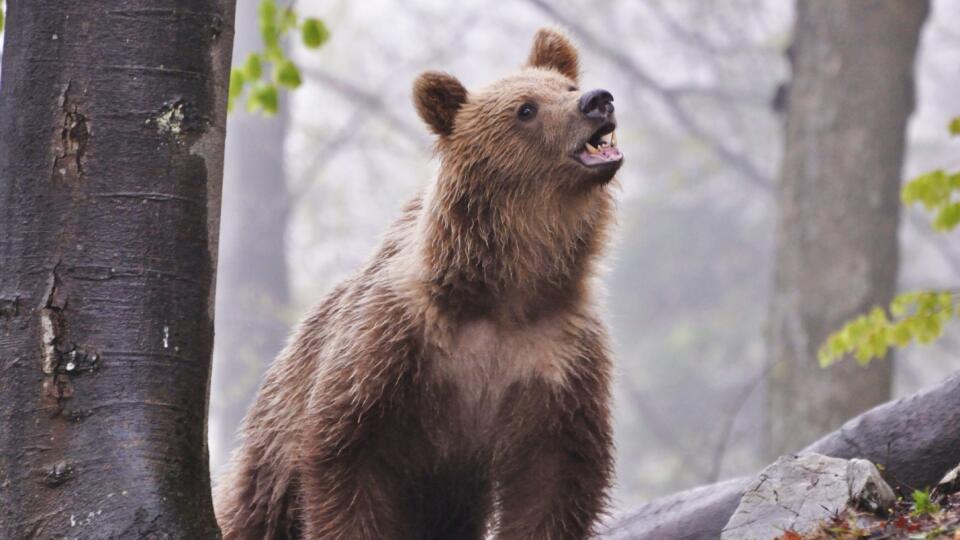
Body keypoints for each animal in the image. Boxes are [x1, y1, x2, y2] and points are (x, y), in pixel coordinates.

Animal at [215, 27, 628, 536]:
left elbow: (555, 480)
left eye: (567, 87)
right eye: (526, 108)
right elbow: (345, 458)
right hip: (273, 445)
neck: (506, 291)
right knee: (252, 509)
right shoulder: (392, 346)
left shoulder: (557, 358)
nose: (597, 100)